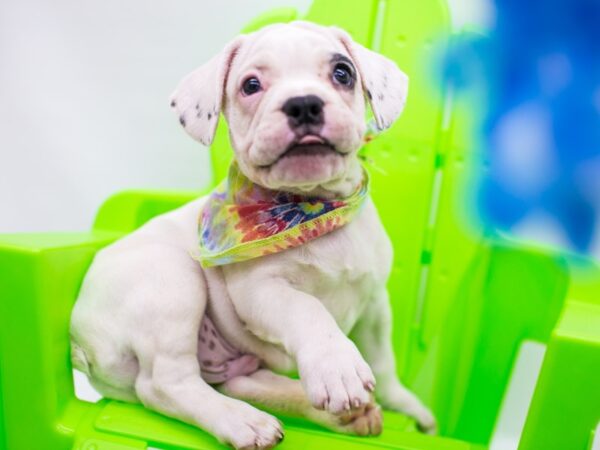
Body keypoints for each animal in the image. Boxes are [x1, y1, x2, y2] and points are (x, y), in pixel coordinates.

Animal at [69, 21, 436, 450]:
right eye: (251, 85)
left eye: (343, 73)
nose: (304, 103)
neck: (309, 205)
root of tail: (80, 338)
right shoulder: (262, 293)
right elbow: (307, 309)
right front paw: (337, 366)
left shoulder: (374, 300)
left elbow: (383, 361)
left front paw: (403, 404)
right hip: (172, 281)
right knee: (165, 384)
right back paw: (243, 421)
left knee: (243, 382)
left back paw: (340, 417)